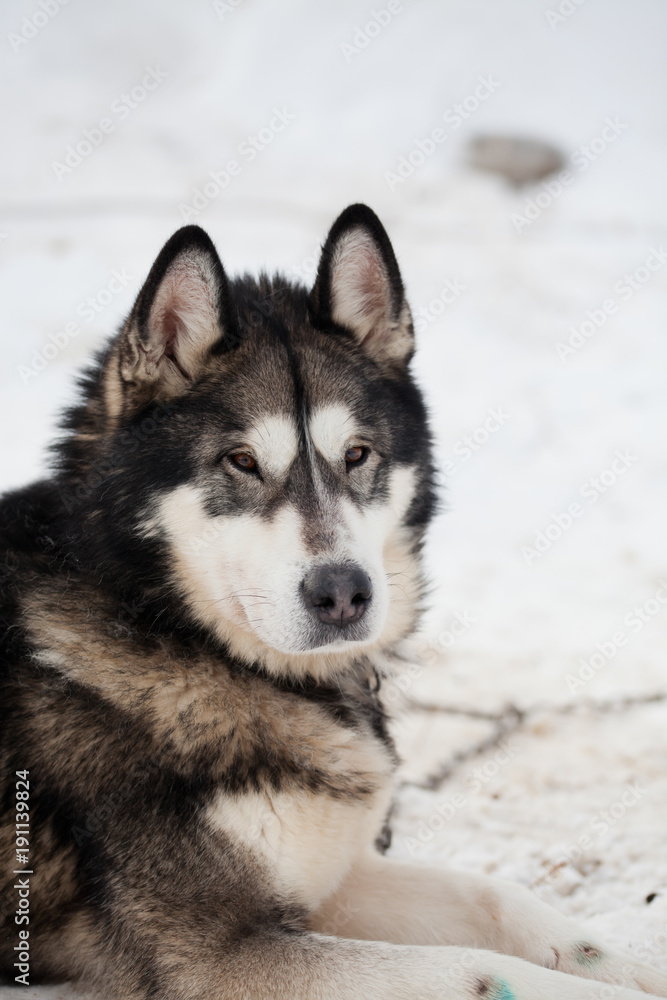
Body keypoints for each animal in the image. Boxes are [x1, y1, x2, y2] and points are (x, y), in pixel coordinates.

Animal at [1, 205, 667, 1000]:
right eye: (241, 462)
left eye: (356, 455)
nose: (343, 591)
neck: (169, 627)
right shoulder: (213, 957)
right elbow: (480, 972)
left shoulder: (333, 881)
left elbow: (500, 900)